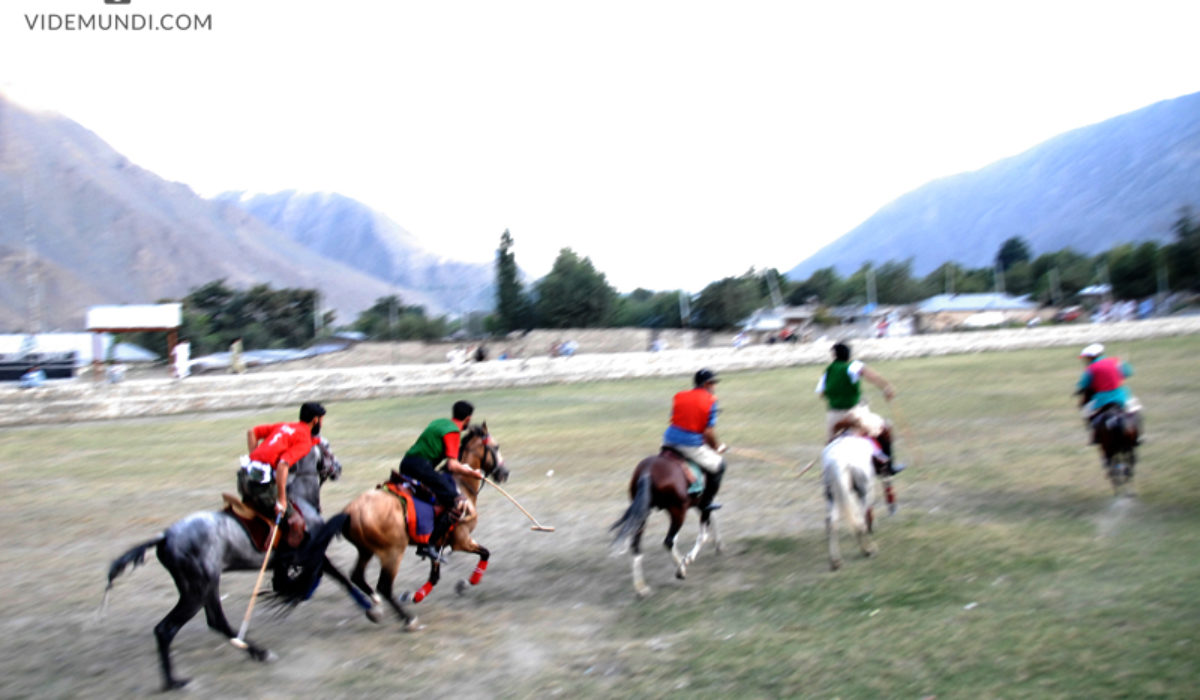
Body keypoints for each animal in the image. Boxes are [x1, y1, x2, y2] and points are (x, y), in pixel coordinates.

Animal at [103, 441, 364, 691]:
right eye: (327, 448)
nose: (339, 467)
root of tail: (165, 536)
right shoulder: (311, 551)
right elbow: (332, 575)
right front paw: (367, 606)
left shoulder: (300, 557)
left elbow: (319, 577)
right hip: (197, 589)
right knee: (167, 629)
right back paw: (175, 681)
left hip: (205, 585)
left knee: (215, 621)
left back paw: (257, 653)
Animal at [340, 425, 508, 629]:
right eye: (496, 447)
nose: (505, 473)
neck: (461, 485)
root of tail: (351, 511)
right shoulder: (461, 540)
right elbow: (485, 553)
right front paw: (470, 581)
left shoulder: (438, 544)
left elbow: (434, 576)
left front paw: (416, 595)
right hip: (392, 551)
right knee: (384, 586)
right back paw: (407, 619)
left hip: (366, 550)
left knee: (357, 576)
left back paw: (375, 608)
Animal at [609, 449, 720, 597]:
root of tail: (647, 472)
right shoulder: (702, 504)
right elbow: (703, 533)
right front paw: (689, 558)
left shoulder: (698, 505)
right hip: (678, 511)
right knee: (668, 541)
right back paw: (680, 570)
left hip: (643, 514)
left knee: (637, 546)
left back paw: (641, 588)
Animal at [820, 434, 878, 571]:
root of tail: (838, 463)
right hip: (863, 492)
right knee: (860, 522)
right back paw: (868, 550)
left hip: (832, 497)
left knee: (832, 523)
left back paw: (835, 562)